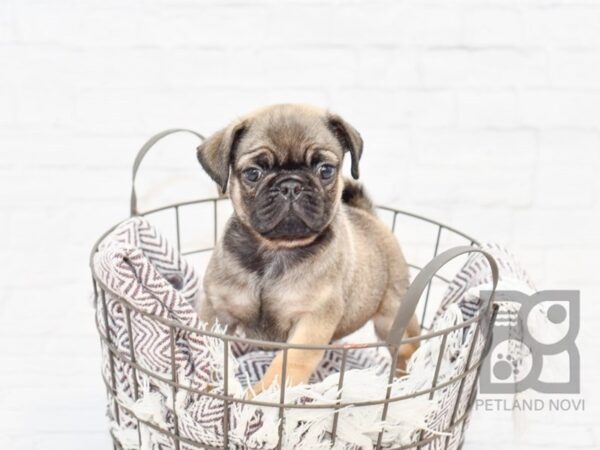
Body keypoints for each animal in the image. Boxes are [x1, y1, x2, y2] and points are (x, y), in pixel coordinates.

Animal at [196, 103, 418, 392]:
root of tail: (368, 215)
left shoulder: (310, 323)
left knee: (406, 350)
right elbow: (208, 354)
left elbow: (285, 367)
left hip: (393, 316)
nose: (291, 185)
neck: (274, 250)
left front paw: (259, 396)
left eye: (325, 170)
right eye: (253, 173)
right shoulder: (216, 312)